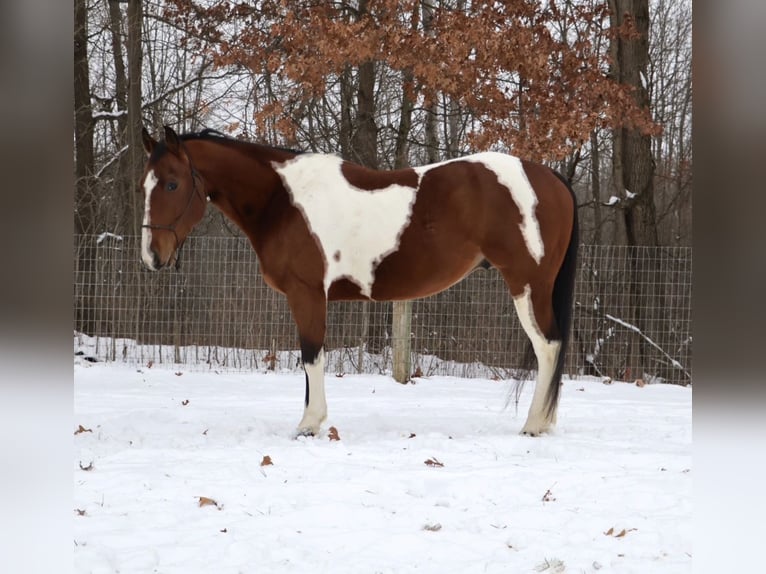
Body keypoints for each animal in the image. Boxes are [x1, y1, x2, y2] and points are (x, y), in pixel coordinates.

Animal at [139, 125, 578, 437]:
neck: (283, 202)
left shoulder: (306, 294)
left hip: (528, 287)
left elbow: (311, 355)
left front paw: (309, 424)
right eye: (146, 184)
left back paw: (535, 425)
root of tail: (548, 176)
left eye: (172, 183)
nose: (152, 256)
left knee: (548, 347)